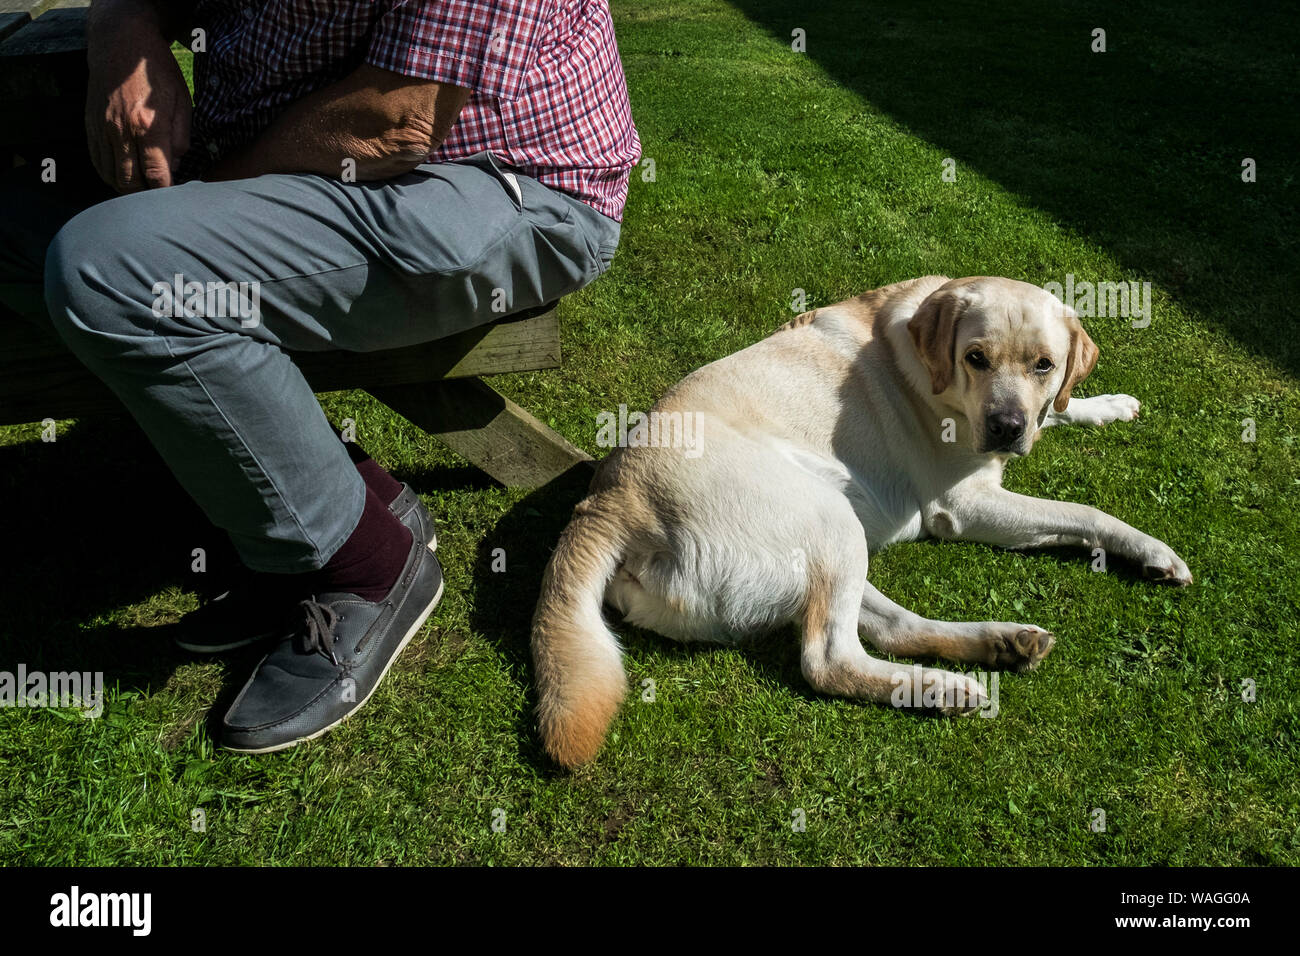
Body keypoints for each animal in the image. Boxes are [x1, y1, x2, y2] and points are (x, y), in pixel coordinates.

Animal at [527, 273, 1190, 764]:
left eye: (1044, 365)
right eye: (975, 358)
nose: (1006, 428)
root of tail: (608, 502)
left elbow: (1060, 410)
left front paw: (1105, 404)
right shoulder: (965, 501)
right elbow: (1083, 511)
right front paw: (1153, 550)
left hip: (829, 540)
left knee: (890, 628)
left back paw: (998, 645)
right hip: (829, 518)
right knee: (828, 661)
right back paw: (941, 688)